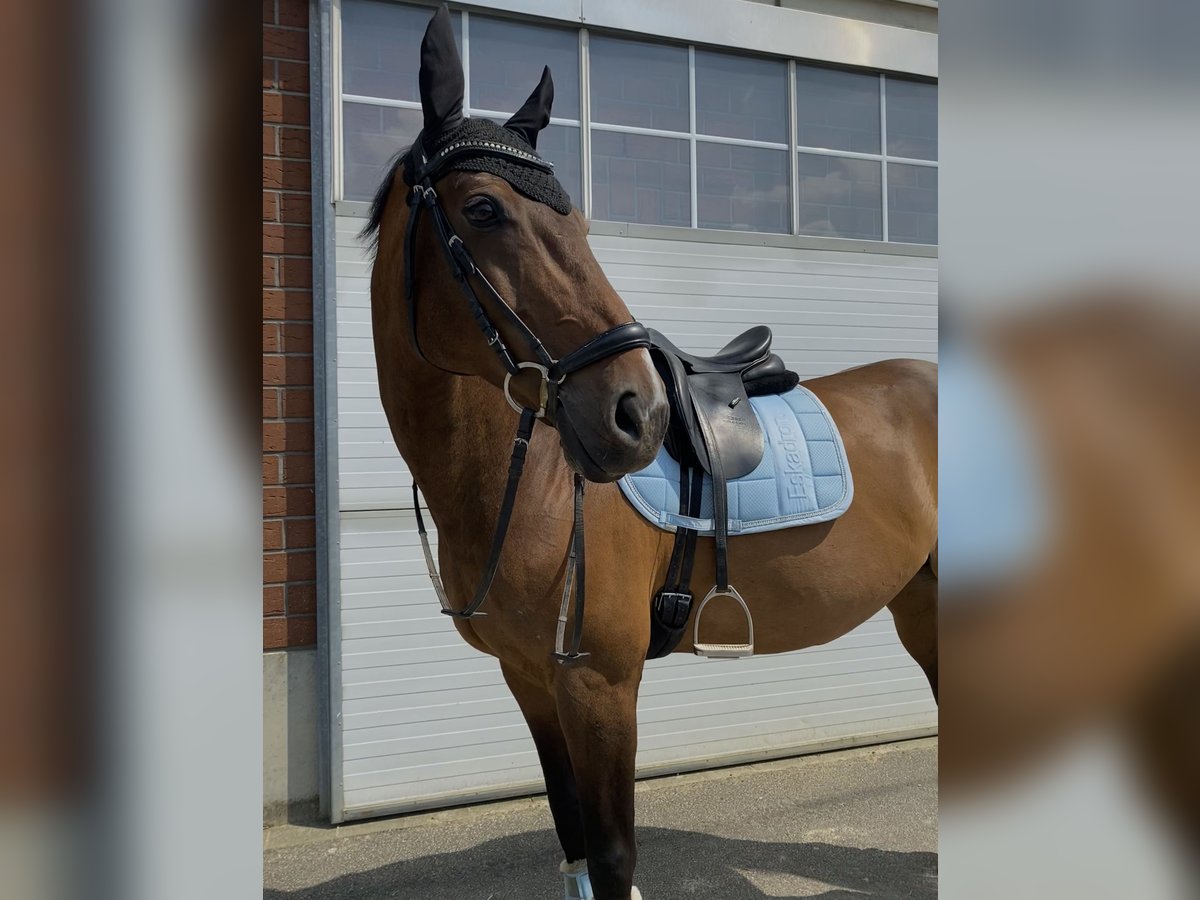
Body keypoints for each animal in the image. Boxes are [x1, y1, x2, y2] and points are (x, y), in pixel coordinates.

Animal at [365, 8, 938, 898]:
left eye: (577, 221)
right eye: (484, 208)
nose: (636, 413)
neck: (522, 484)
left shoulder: (601, 683)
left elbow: (612, 853)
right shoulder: (530, 681)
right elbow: (574, 840)